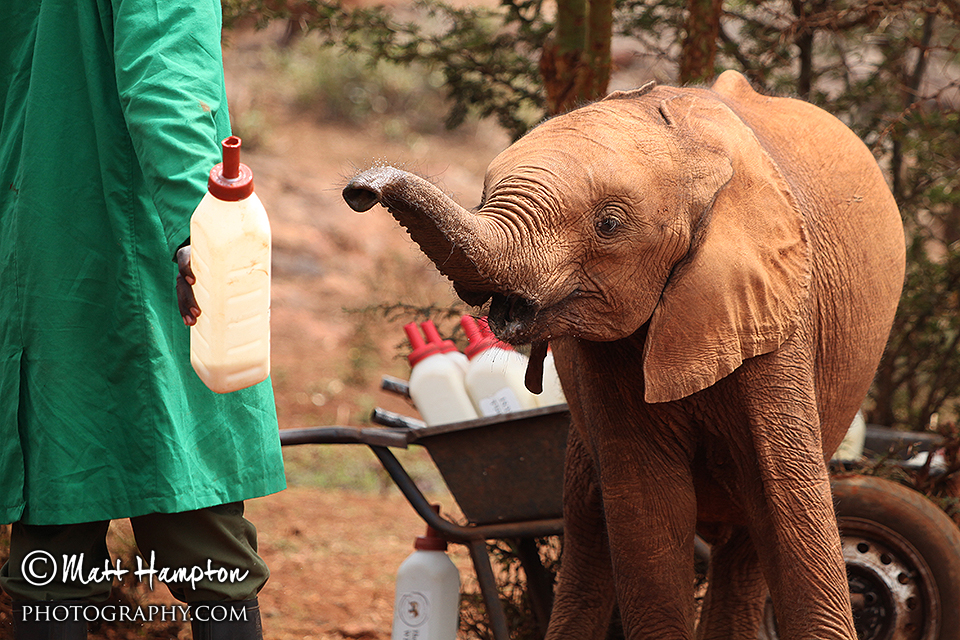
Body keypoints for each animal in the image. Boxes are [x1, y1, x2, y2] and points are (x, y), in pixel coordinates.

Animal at [343, 70, 906, 639]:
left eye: (609, 225)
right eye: (483, 194)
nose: (360, 189)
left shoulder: (775, 306)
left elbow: (787, 503)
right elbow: (649, 507)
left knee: (745, 540)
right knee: (590, 530)